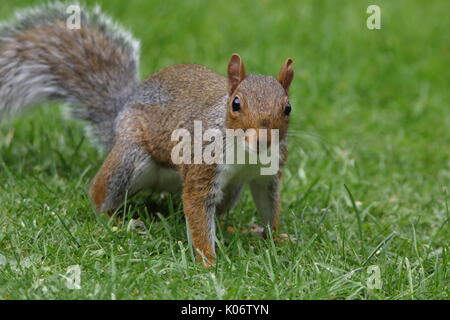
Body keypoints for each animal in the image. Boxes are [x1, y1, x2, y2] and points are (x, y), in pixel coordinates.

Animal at [0, 3, 294, 266]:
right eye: (235, 104)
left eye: (288, 107)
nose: (262, 140)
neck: (246, 154)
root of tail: (119, 118)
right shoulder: (202, 163)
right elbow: (197, 211)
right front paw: (208, 263)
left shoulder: (268, 175)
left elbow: (269, 206)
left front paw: (276, 237)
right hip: (131, 158)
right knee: (99, 194)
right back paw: (118, 221)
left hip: (231, 190)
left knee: (215, 212)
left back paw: (233, 229)